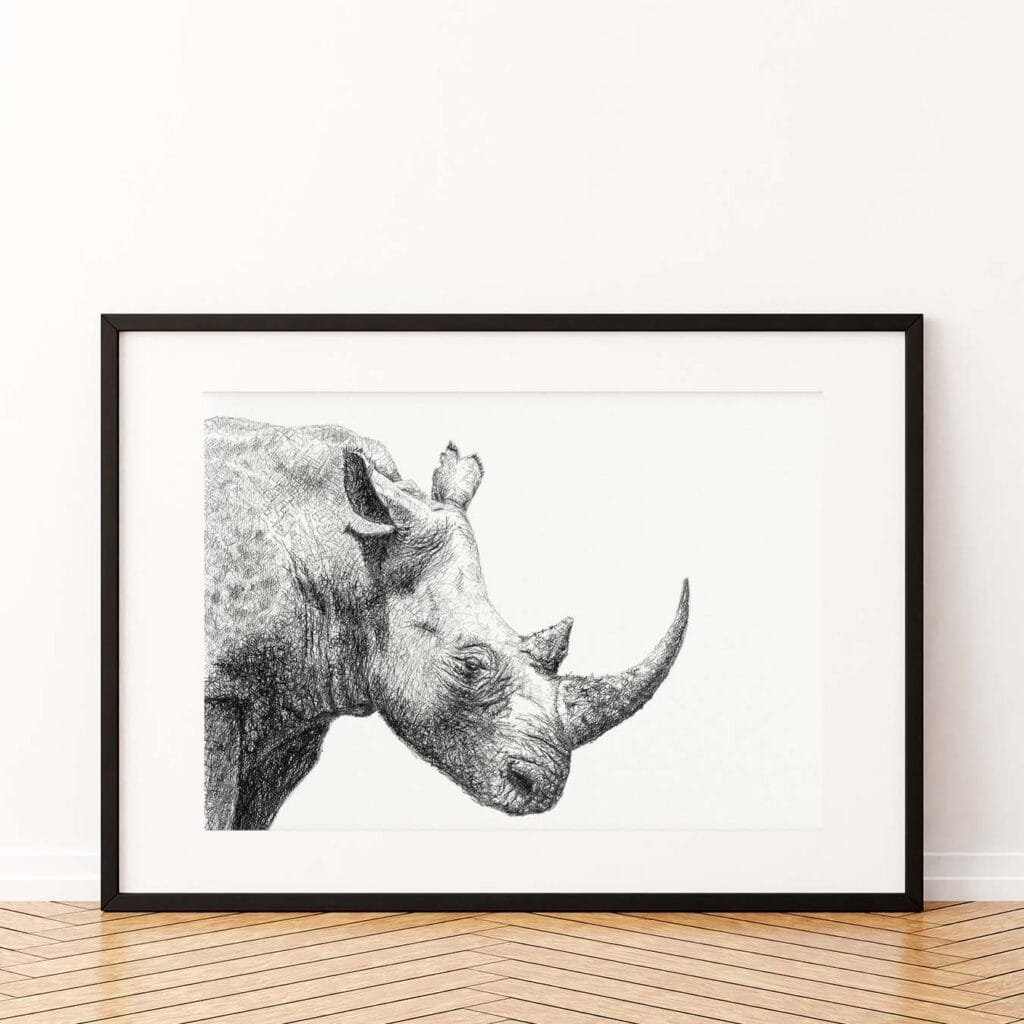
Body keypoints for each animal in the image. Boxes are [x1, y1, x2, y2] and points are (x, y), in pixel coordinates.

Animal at [204, 416, 689, 829]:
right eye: (471, 665)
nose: (543, 789)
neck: (354, 556)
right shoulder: (218, 689)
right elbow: (214, 807)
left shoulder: (298, 702)